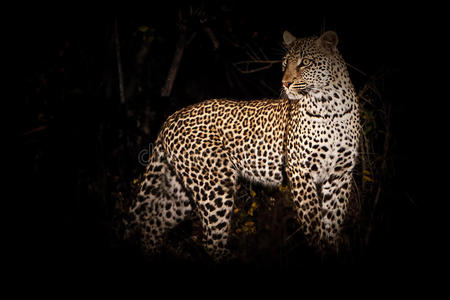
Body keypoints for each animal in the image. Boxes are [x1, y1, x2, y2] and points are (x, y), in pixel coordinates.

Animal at [124, 29, 362, 260]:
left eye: (305, 62)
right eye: (285, 63)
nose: (285, 83)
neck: (330, 107)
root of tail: (171, 118)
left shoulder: (340, 175)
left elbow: (333, 223)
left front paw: (330, 250)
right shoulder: (300, 172)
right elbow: (312, 224)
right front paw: (318, 251)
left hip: (181, 187)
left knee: (153, 222)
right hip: (215, 184)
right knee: (210, 241)